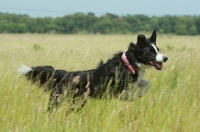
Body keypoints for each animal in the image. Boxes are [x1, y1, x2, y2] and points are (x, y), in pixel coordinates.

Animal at [18, 30, 167, 109]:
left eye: (158, 49)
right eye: (150, 52)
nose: (165, 58)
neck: (129, 62)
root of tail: (65, 74)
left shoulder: (136, 80)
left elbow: (146, 84)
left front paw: (140, 93)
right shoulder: (113, 88)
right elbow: (128, 93)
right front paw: (132, 97)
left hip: (77, 101)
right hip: (59, 99)